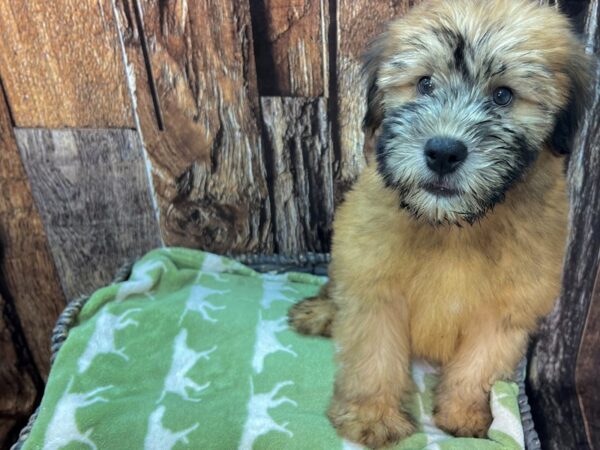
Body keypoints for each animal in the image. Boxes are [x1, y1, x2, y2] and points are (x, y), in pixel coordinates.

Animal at [288, 1, 588, 448]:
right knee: (337, 289)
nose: (443, 152)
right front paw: (371, 417)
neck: (453, 227)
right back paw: (322, 311)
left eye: (503, 95)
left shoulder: (506, 310)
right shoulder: (374, 283)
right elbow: (374, 355)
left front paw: (465, 415)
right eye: (425, 84)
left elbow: (480, 364)